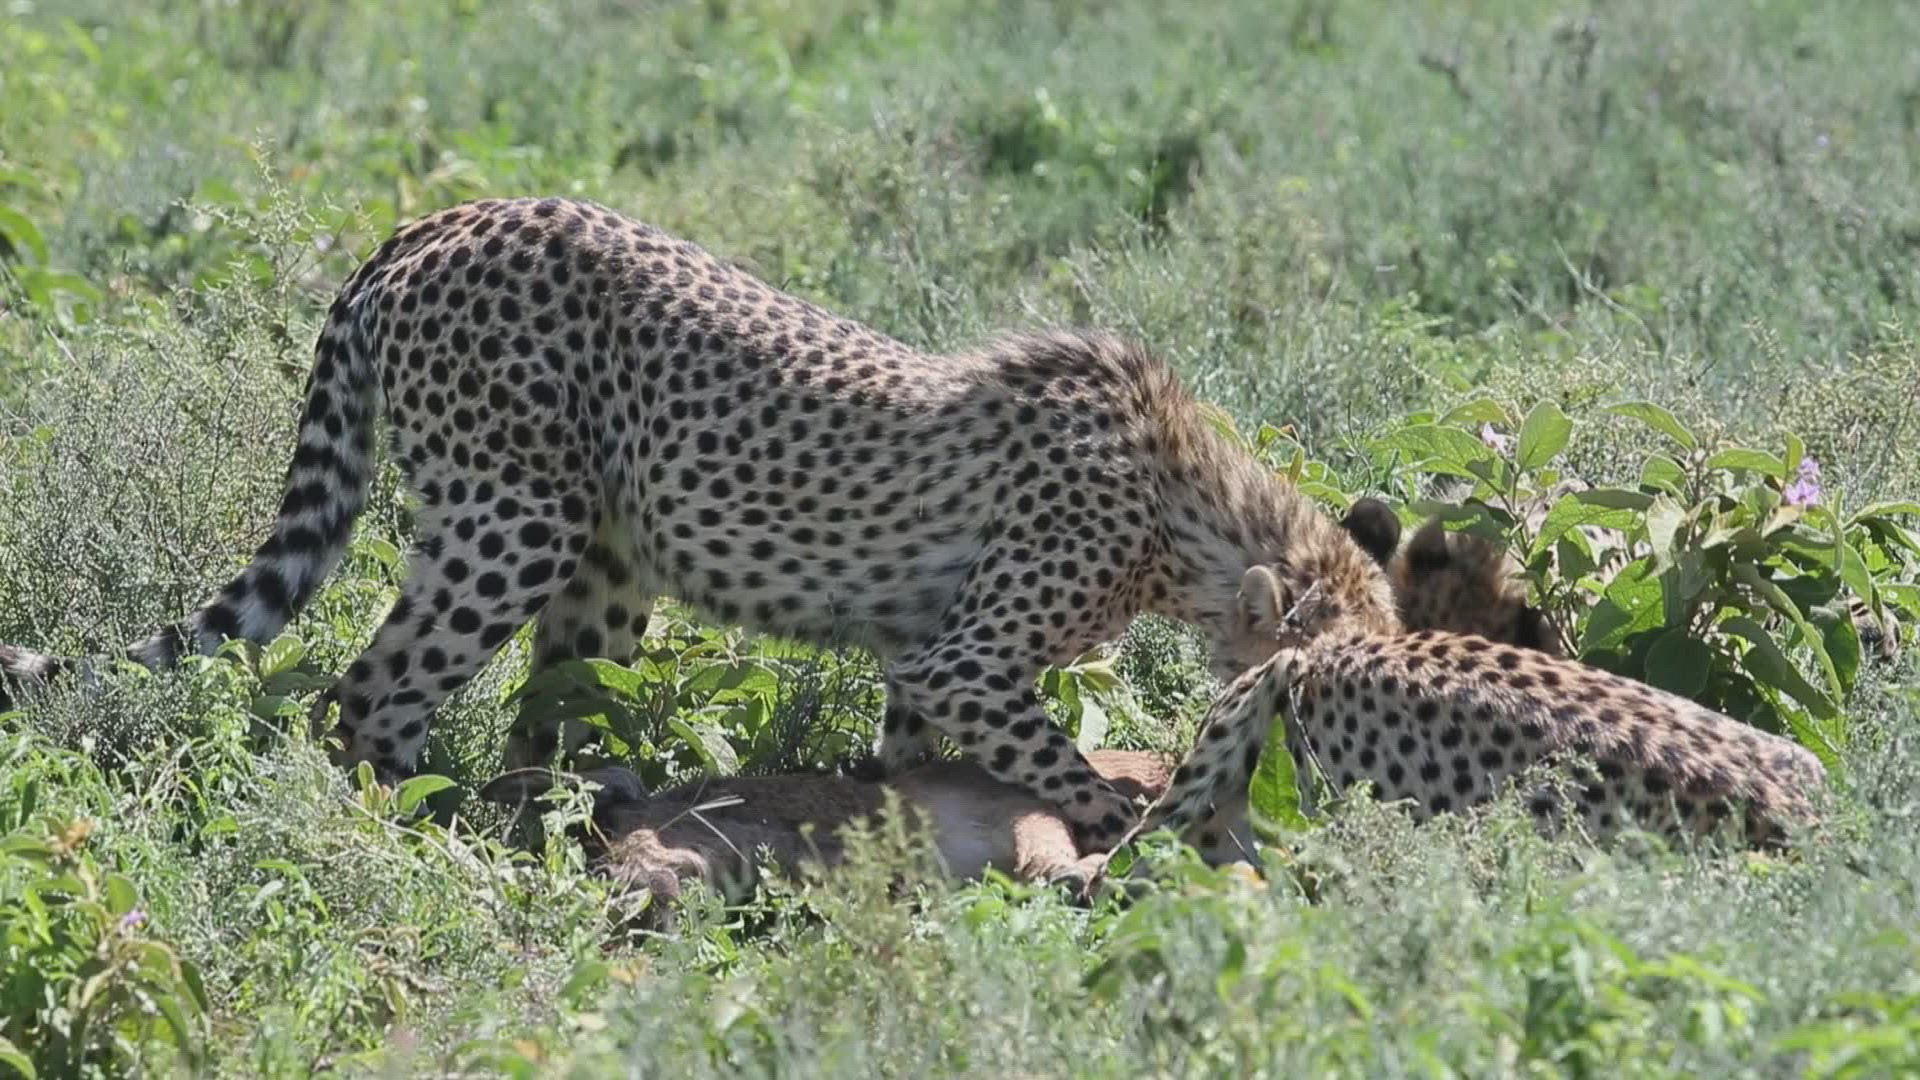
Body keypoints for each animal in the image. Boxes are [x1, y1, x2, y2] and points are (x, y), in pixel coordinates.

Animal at [0, 195, 1405, 850]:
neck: (1194, 510)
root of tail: (436, 219)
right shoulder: (967, 657)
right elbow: (1058, 760)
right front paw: (1129, 828)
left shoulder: (921, 661)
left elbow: (906, 749)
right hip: (514, 516)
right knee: (370, 689)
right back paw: (414, 835)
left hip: (605, 558)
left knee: (549, 717)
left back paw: (584, 822)